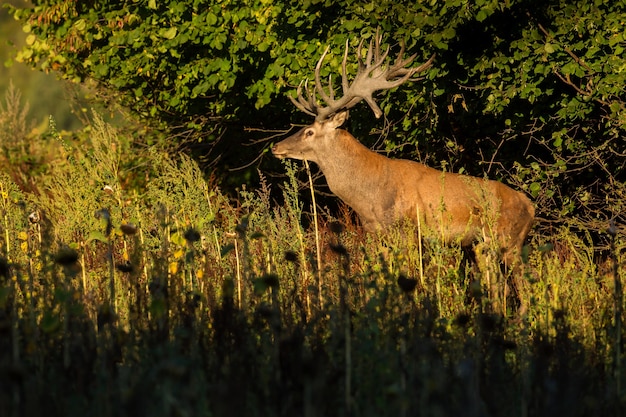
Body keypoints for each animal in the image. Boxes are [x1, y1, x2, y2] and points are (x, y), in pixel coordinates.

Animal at [270, 30, 532, 282]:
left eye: (309, 132)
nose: (276, 146)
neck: (371, 196)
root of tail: (530, 205)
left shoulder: (408, 232)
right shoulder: (378, 235)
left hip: (508, 239)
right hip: (484, 245)